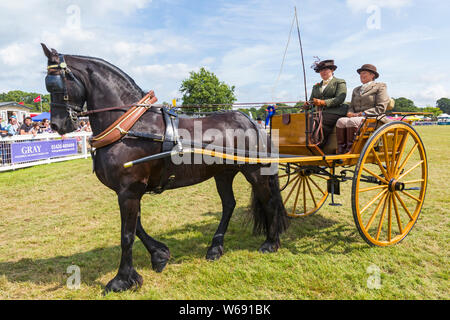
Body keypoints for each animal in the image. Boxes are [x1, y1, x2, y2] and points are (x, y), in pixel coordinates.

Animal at [42, 43, 288, 292]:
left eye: (55, 84)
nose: (58, 125)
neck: (129, 127)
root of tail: (250, 121)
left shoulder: (129, 190)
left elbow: (127, 235)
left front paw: (122, 279)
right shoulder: (129, 191)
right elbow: (137, 226)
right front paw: (159, 255)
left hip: (254, 172)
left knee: (268, 202)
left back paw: (271, 242)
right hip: (223, 173)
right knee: (229, 204)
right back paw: (215, 248)